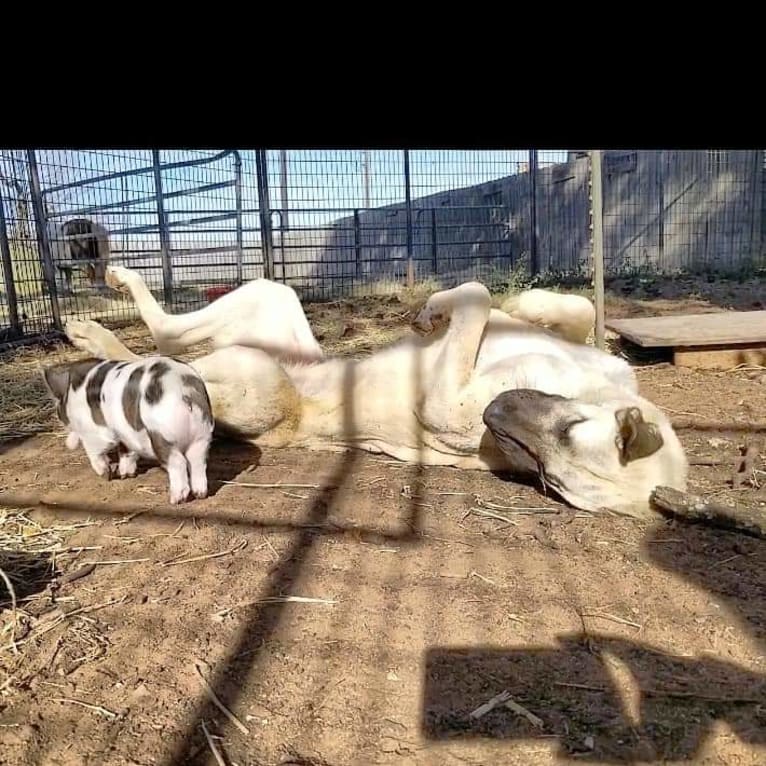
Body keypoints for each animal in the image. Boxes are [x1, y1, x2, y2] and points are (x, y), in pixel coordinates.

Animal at [43, 358, 214, 504]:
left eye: (59, 411)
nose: (68, 444)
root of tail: (184, 390)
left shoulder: (96, 431)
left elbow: (95, 450)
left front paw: (106, 475)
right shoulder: (126, 432)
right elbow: (127, 451)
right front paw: (126, 475)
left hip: (161, 434)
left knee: (179, 462)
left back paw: (175, 500)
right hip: (202, 433)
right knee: (197, 460)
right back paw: (200, 494)